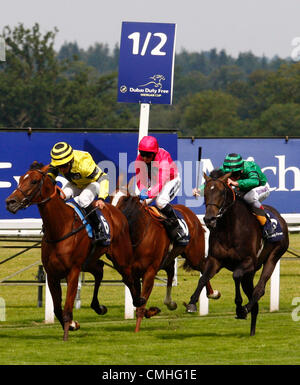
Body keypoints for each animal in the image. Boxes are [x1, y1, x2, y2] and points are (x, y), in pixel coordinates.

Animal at [5, 161, 144, 340]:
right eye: (21, 179)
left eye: (34, 181)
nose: (10, 202)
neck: (60, 227)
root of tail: (116, 211)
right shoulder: (52, 273)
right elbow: (57, 308)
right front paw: (72, 324)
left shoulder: (73, 270)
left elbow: (66, 307)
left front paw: (66, 336)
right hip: (90, 260)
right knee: (99, 270)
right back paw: (99, 306)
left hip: (120, 257)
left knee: (129, 278)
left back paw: (140, 303)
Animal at [111, 184, 221, 332]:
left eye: (124, 200)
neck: (139, 233)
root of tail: (191, 214)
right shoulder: (131, 273)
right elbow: (138, 300)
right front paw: (151, 311)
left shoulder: (150, 271)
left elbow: (141, 303)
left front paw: (136, 330)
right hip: (169, 257)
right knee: (170, 272)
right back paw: (170, 302)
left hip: (194, 256)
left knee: (203, 267)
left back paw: (211, 294)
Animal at [184, 170, 290, 334]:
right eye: (205, 192)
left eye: (221, 192)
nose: (209, 219)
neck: (230, 228)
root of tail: (280, 218)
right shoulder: (215, 260)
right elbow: (203, 278)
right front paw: (192, 303)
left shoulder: (248, 261)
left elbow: (236, 275)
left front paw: (239, 306)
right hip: (251, 273)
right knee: (254, 298)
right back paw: (251, 330)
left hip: (274, 256)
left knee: (259, 289)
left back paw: (245, 309)